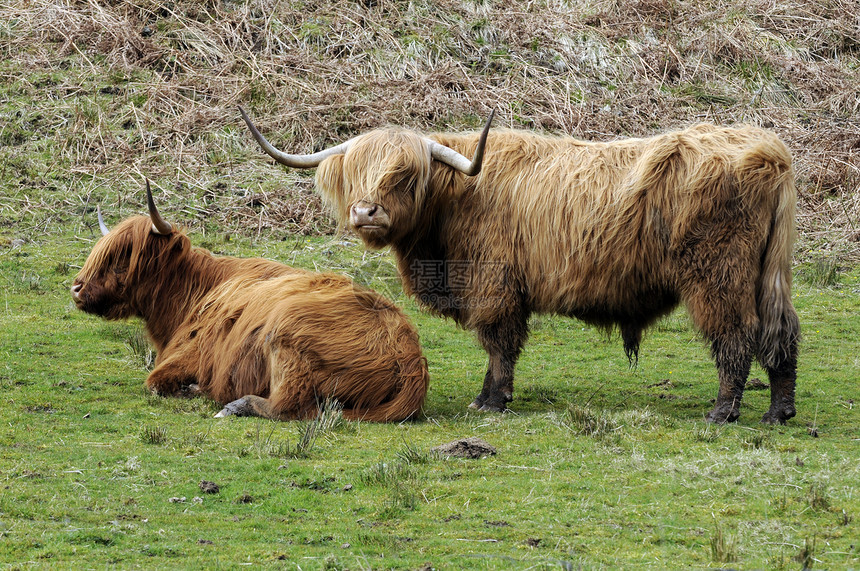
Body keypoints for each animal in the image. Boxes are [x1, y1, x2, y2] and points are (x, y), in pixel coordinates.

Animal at [72, 182, 428, 420]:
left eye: (124, 259)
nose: (77, 289)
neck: (196, 292)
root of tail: (410, 355)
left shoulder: (186, 358)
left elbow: (155, 381)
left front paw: (192, 388)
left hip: (285, 333)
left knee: (286, 406)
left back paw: (231, 403)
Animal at [240, 106, 800, 424]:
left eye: (405, 176)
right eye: (356, 173)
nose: (366, 212)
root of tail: (769, 150)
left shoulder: (494, 285)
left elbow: (498, 344)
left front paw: (492, 400)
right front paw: (488, 397)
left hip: (716, 275)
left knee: (735, 336)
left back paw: (722, 412)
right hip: (766, 275)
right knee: (781, 333)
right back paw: (779, 411)